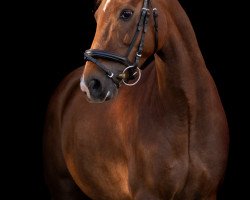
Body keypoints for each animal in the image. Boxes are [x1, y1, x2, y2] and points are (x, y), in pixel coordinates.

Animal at [43, 0, 229, 200]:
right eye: (97, 16)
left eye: (126, 13)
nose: (90, 85)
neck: (187, 115)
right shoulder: (147, 194)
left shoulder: (208, 193)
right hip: (63, 187)